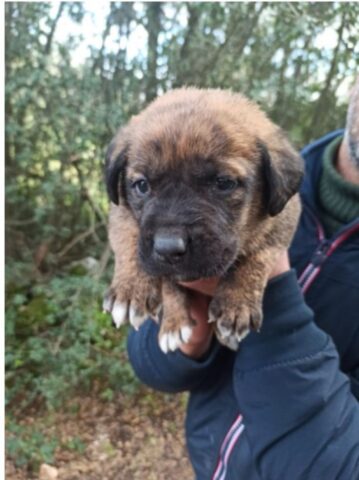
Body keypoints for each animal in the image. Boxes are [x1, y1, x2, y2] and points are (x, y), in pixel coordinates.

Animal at [103, 88, 304, 352]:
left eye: (224, 183)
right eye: (142, 185)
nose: (168, 248)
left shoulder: (284, 218)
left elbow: (257, 256)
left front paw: (236, 304)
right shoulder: (121, 212)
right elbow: (131, 241)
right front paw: (133, 291)